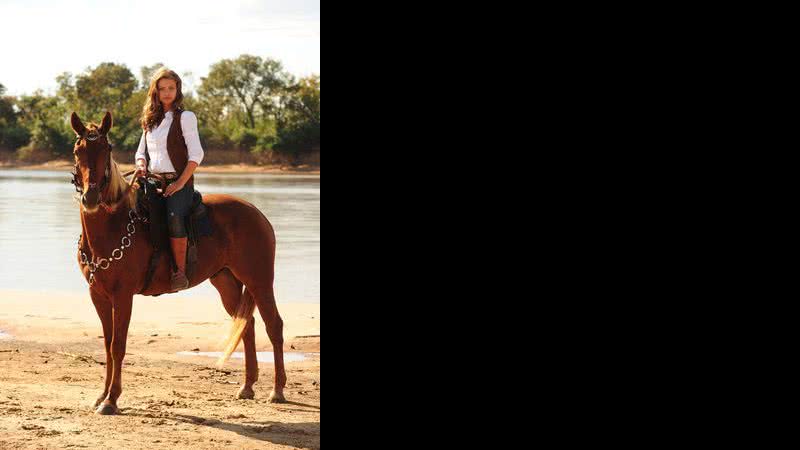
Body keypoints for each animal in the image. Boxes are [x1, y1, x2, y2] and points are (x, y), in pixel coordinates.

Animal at [70, 111, 286, 414]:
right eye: (78, 150)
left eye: (106, 148)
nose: (90, 197)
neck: (115, 223)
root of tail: (256, 213)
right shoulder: (98, 295)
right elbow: (107, 345)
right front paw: (101, 396)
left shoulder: (122, 296)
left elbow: (117, 346)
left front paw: (112, 399)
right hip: (226, 282)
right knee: (247, 325)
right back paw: (247, 386)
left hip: (260, 281)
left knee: (273, 326)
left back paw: (277, 390)